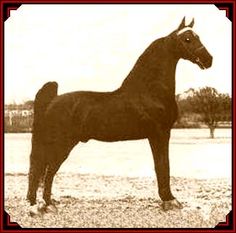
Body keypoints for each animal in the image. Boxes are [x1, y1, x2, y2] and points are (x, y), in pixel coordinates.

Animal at [27, 17, 212, 215]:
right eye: (187, 39)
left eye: (197, 37)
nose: (209, 60)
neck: (150, 90)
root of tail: (52, 101)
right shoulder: (160, 134)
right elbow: (163, 166)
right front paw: (170, 200)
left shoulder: (159, 135)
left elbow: (163, 166)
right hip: (62, 144)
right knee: (47, 170)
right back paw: (46, 204)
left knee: (43, 169)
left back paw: (42, 203)